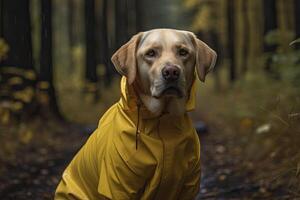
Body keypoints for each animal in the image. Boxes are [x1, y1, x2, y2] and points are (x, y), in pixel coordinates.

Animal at [55, 28, 217, 200]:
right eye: (150, 53)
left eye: (183, 52)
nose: (171, 72)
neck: (164, 121)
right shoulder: (118, 186)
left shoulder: (188, 185)